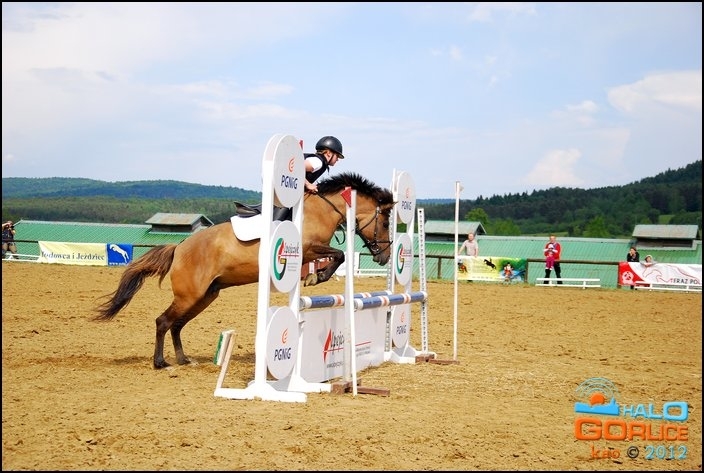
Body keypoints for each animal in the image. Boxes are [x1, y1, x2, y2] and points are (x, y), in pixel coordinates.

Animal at [94, 172, 396, 369]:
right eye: (384, 223)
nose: (384, 257)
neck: (322, 209)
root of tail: (179, 248)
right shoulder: (308, 248)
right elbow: (339, 254)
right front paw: (316, 276)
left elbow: (337, 255)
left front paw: (315, 276)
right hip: (190, 295)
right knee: (163, 321)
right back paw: (161, 362)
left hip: (206, 295)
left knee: (176, 324)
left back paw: (183, 359)